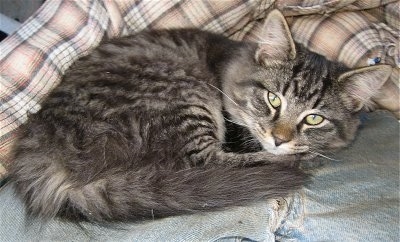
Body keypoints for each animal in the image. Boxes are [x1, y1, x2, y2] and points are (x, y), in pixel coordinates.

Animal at [8, 10, 390, 223]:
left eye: (314, 119)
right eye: (273, 99)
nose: (279, 139)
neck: (235, 66)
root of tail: (42, 158)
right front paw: (303, 154)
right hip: (183, 94)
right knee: (205, 162)